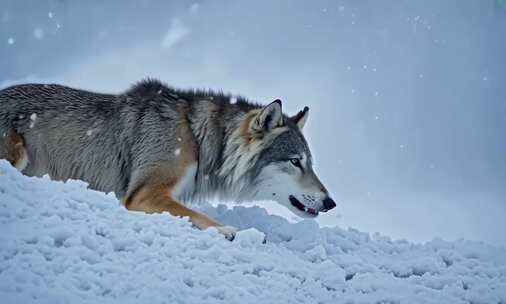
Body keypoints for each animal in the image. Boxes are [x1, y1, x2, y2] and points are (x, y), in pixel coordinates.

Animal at [0, 79, 336, 240]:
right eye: (295, 162)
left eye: (309, 162)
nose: (331, 203)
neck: (198, 140)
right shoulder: (144, 194)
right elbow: (195, 215)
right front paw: (230, 231)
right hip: (17, 154)